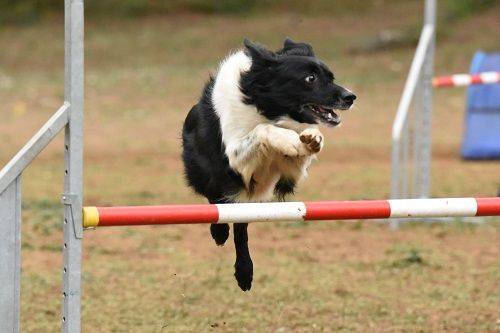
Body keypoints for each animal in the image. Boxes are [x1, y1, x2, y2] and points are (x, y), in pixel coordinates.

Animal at [182, 37, 354, 290]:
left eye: (331, 77)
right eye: (310, 78)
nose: (351, 97)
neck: (267, 108)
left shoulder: (285, 173)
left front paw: (312, 139)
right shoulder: (233, 160)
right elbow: (263, 130)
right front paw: (289, 139)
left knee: (240, 226)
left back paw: (244, 272)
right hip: (211, 175)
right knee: (218, 202)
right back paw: (220, 233)